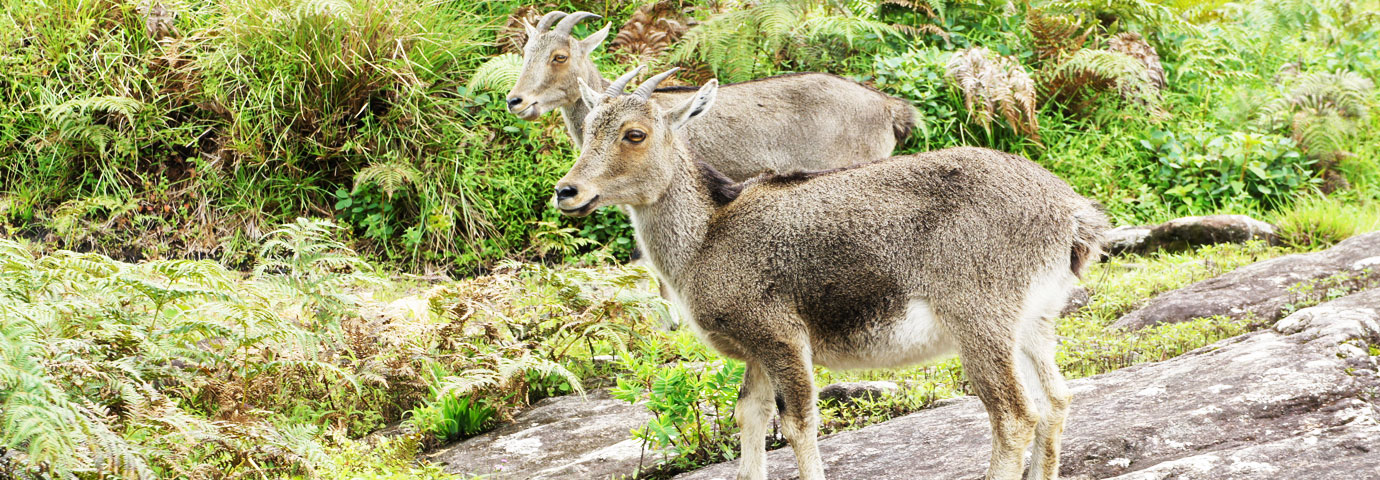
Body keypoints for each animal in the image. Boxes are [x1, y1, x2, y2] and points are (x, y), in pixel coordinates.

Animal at [552, 68, 1109, 480]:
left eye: (635, 134)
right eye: (587, 131)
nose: (568, 191)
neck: (708, 236)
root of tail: (1072, 215)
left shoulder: (780, 334)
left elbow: (799, 422)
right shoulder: (756, 350)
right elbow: (750, 415)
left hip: (980, 319)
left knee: (1015, 415)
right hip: (1034, 323)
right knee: (1056, 400)